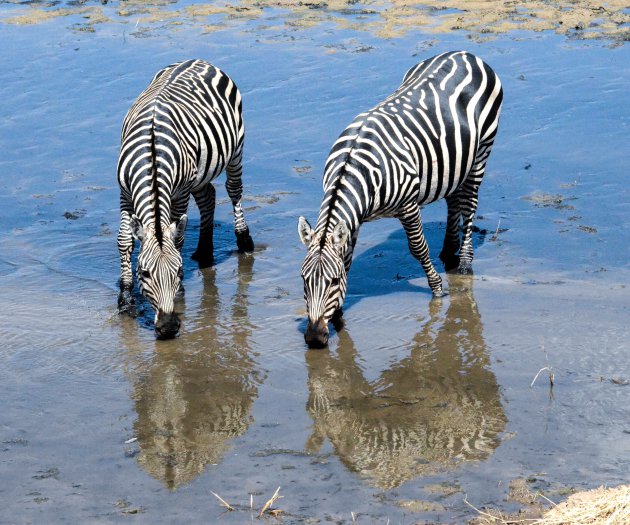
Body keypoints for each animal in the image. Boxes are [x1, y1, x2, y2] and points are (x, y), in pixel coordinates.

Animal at [117, 59, 256, 338]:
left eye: (179, 271)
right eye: (144, 273)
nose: (169, 326)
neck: (152, 158)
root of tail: (198, 60)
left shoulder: (179, 193)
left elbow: (178, 239)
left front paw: (179, 291)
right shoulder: (125, 193)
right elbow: (125, 241)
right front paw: (126, 297)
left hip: (237, 147)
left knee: (233, 189)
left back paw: (243, 239)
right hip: (200, 171)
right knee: (208, 196)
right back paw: (204, 251)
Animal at [300, 51, 504, 348]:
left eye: (334, 281)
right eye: (304, 281)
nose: (315, 338)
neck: (351, 169)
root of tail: (465, 54)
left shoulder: (408, 206)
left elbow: (418, 248)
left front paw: (438, 289)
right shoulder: (353, 219)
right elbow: (346, 257)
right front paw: (338, 314)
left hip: (482, 151)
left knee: (470, 204)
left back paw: (465, 262)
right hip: (456, 160)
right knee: (454, 200)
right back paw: (448, 251)